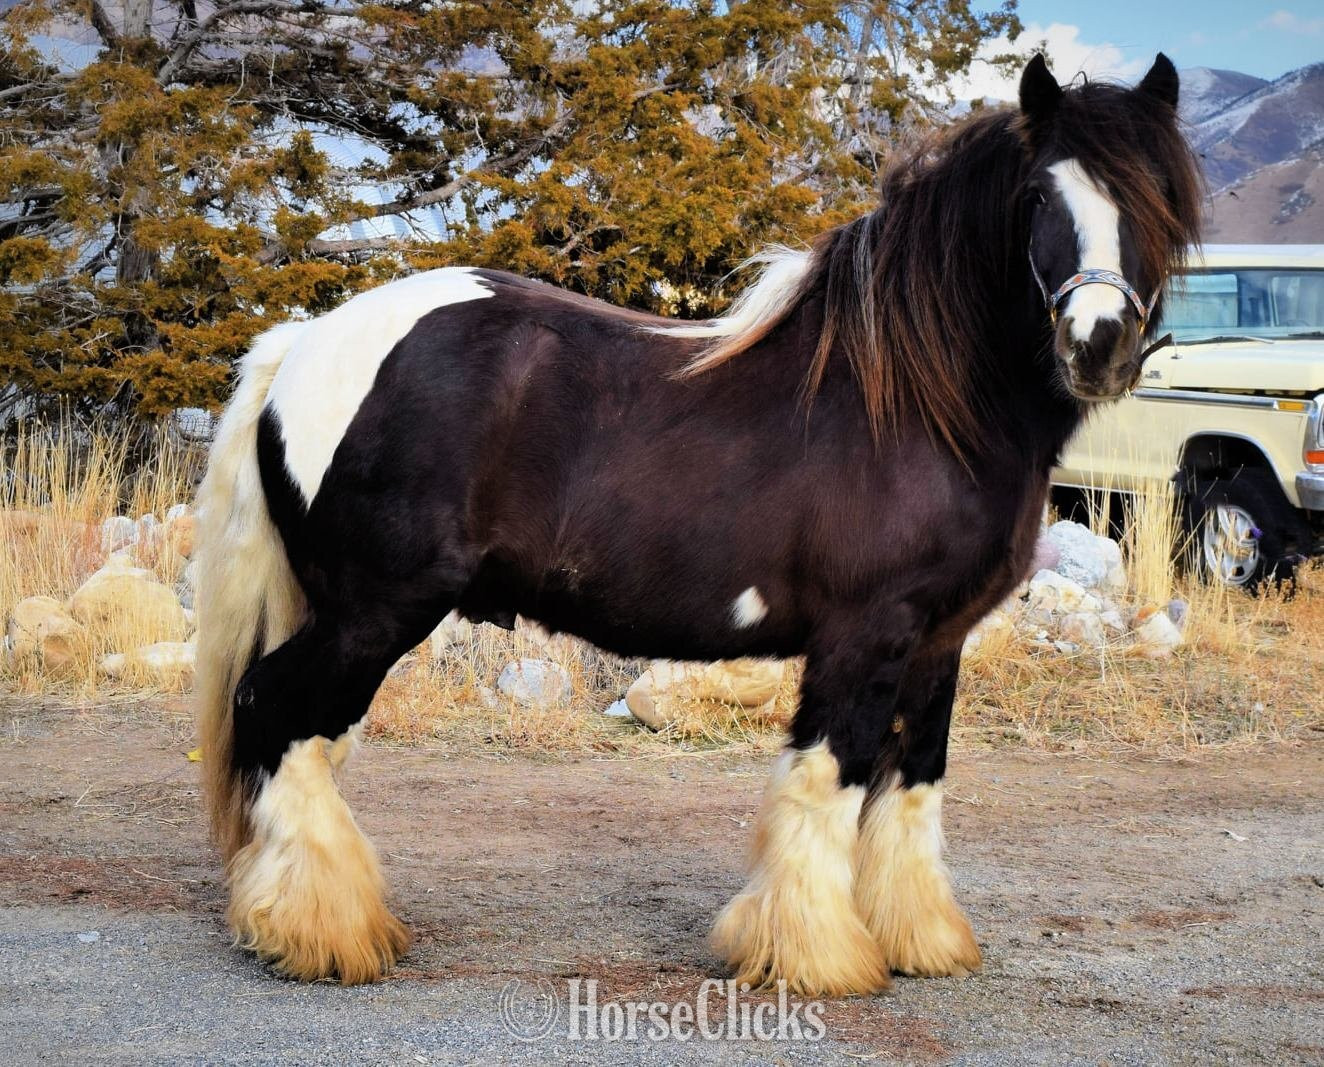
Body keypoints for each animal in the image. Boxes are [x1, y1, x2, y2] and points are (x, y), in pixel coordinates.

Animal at [194, 53, 1203, 995]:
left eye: (1158, 195)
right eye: (1038, 195)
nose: (1098, 343)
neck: (918, 402)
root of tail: (304, 341)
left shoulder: (938, 640)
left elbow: (914, 778)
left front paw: (919, 939)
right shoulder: (865, 634)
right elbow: (828, 776)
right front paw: (815, 953)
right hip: (375, 611)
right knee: (276, 711)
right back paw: (324, 932)